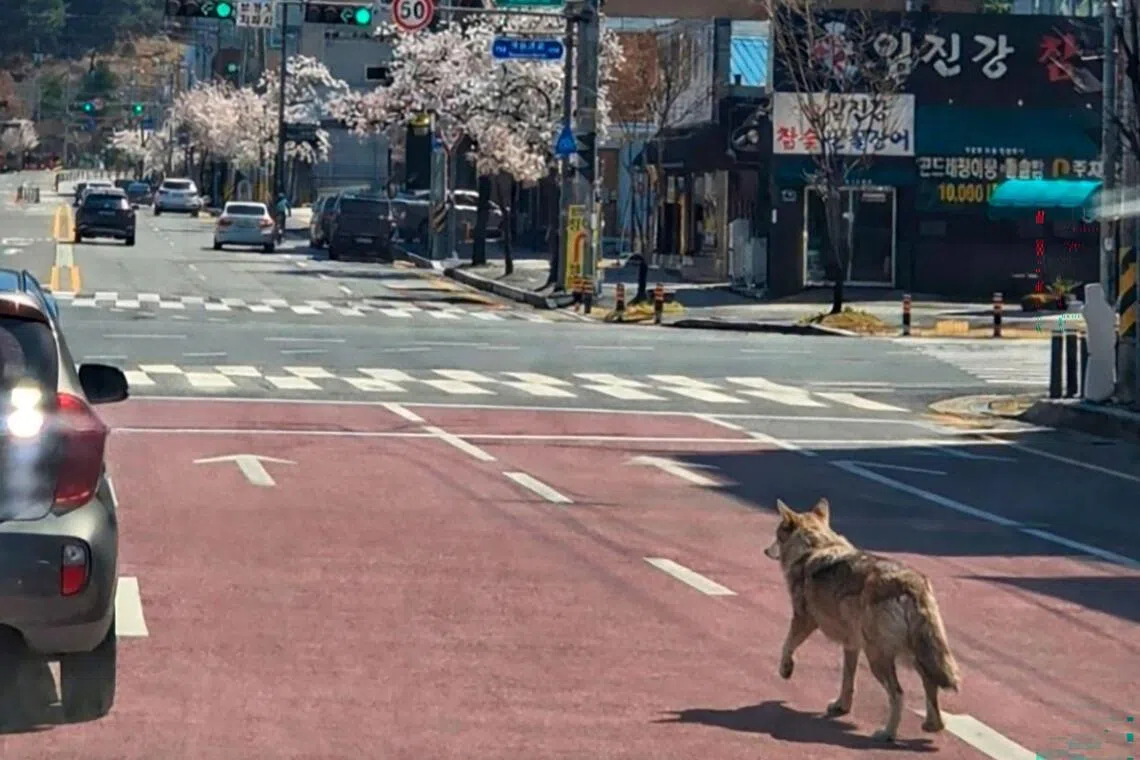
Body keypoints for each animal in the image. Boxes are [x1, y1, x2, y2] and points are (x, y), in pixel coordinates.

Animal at [764, 497, 960, 742]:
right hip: (914, 655)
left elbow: (786, 645)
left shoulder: (804, 620)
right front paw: (841, 706)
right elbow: (848, 681)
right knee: (930, 684)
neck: (815, 547)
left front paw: (785, 670)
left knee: (898, 694)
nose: (765, 550)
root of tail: (912, 585)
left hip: (877, 657)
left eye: (777, 535)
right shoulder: (851, 645)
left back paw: (887, 733)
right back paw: (933, 725)